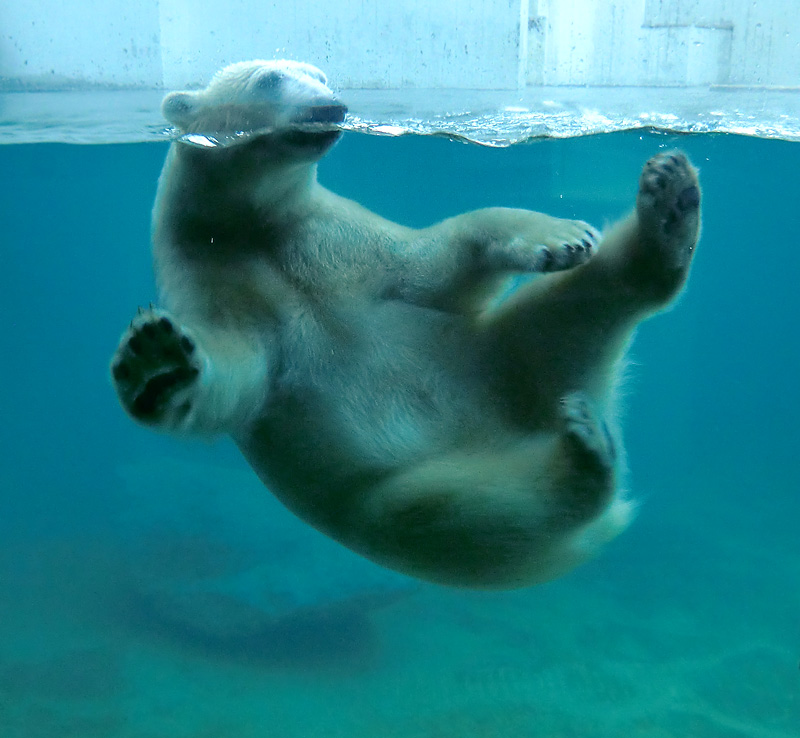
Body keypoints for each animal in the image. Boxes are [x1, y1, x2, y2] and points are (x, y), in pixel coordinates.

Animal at [111, 59, 700, 588]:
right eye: (270, 79)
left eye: (321, 75)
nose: (332, 106)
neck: (253, 227)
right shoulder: (208, 273)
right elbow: (238, 369)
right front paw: (157, 362)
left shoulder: (333, 236)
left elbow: (428, 265)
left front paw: (561, 237)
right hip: (390, 494)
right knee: (460, 511)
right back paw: (586, 453)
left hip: (492, 355)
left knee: (575, 306)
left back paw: (669, 207)